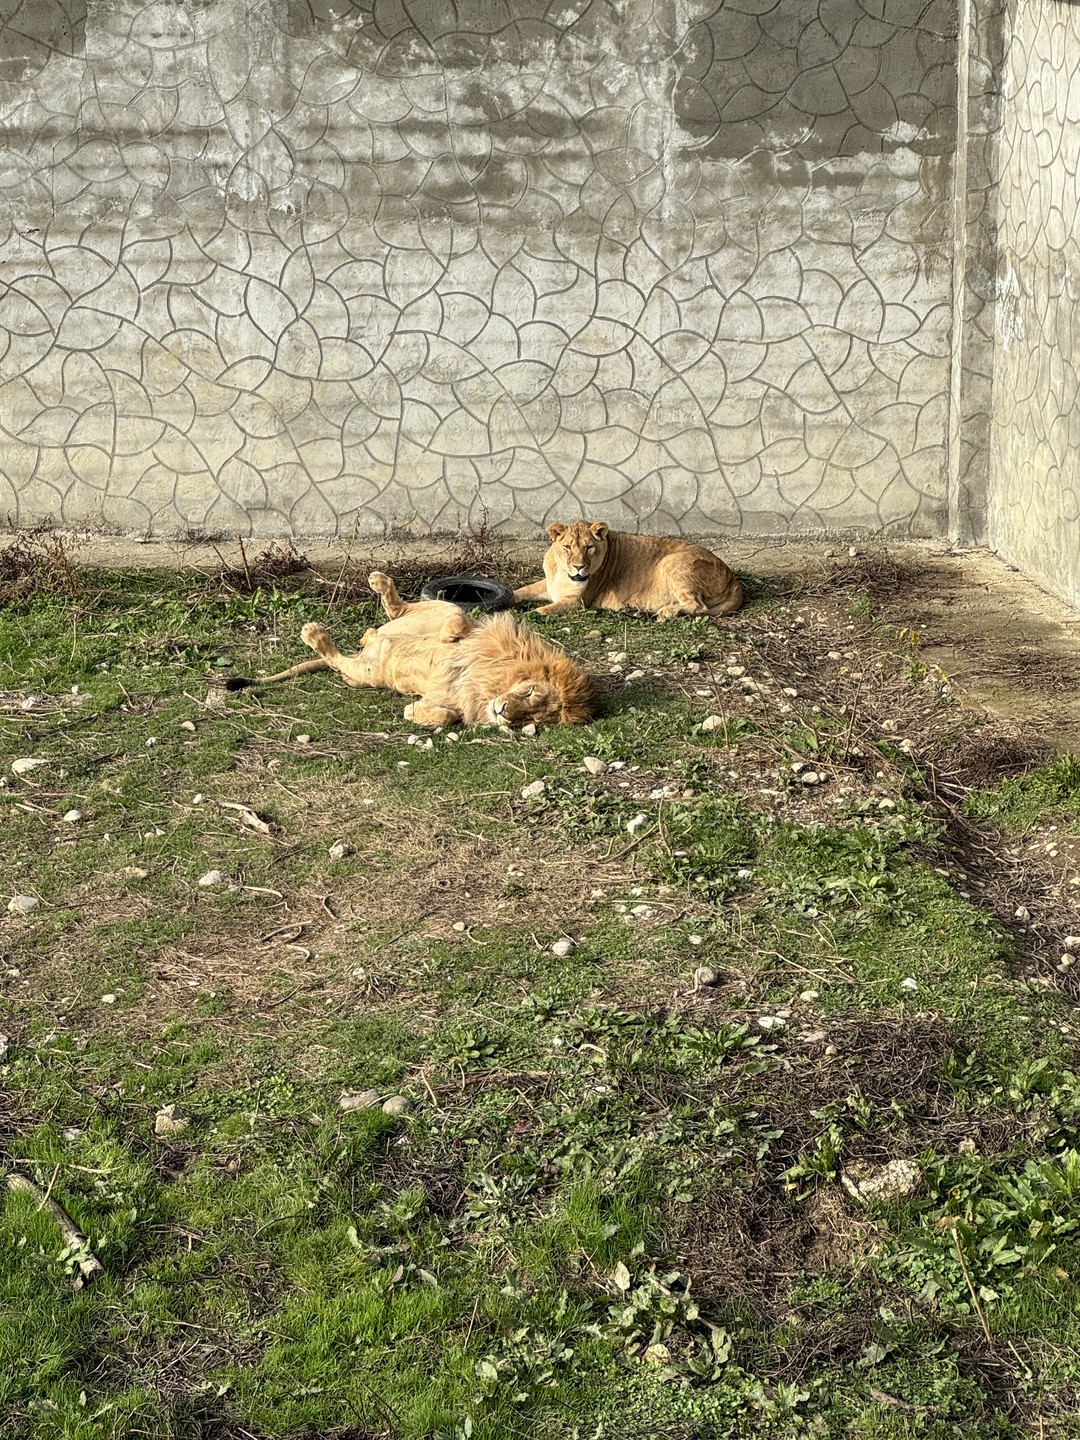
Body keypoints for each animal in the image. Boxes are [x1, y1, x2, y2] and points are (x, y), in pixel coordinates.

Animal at [225, 571, 594, 729]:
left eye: (531, 718)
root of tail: (366, 653)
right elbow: (461, 626)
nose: (503, 712)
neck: (493, 684)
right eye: (530, 693)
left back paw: (321, 637)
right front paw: (452, 639)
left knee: (342, 660)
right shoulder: (489, 636)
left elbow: (445, 715)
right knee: (401, 615)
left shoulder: (459, 700)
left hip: (368, 674)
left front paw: (415, 712)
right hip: (430, 614)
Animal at [514, 521, 743, 620]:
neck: (562, 573)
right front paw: (510, 598)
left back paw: (665, 613)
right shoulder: (548, 585)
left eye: (589, 547)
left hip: (671, 562)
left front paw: (525, 616)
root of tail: (733, 579)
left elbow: (543, 610)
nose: (579, 567)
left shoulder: (577, 602)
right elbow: (522, 591)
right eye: (568, 547)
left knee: (698, 606)